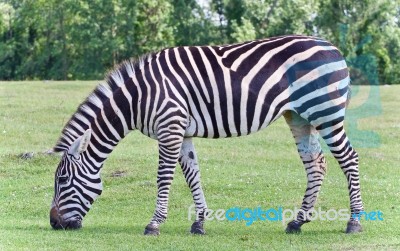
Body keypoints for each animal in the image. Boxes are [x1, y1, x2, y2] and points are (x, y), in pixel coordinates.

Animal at [49, 35, 362, 235]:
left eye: (62, 181)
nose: (54, 224)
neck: (138, 97)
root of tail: (332, 46)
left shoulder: (169, 127)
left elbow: (164, 177)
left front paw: (154, 224)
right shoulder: (182, 131)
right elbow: (192, 175)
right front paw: (199, 223)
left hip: (325, 112)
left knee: (350, 159)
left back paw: (354, 222)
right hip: (299, 116)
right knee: (316, 164)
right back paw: (297, 222)